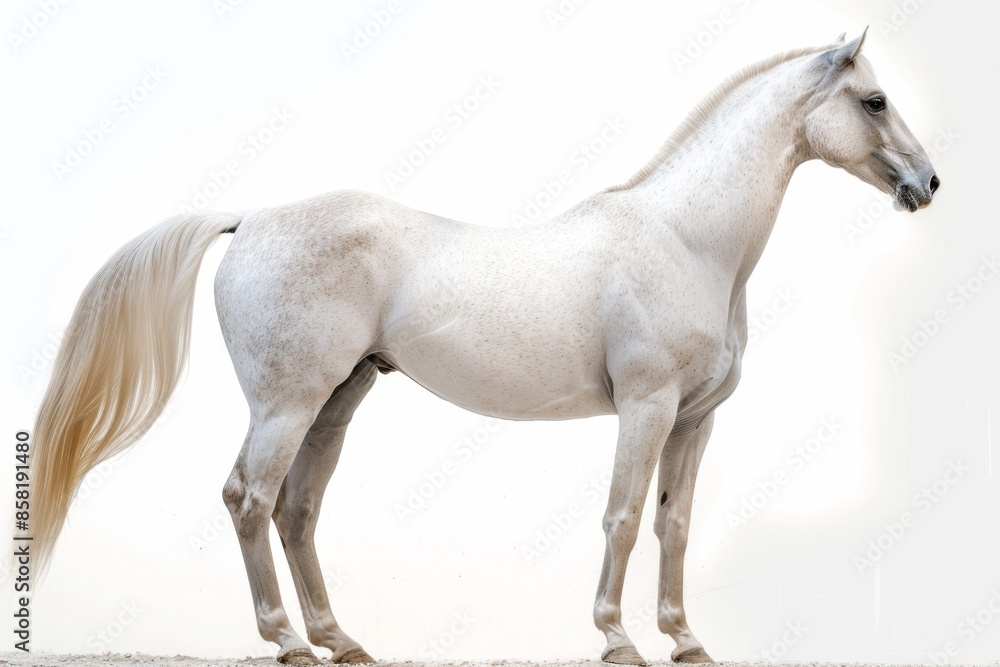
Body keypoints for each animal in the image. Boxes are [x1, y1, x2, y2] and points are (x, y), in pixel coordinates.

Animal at [29, 29, 938, 665]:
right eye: (875, 101)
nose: (928, 185)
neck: (685, 239)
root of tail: (249, 218)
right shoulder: (646, 406)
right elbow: (622, 516)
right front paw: (617, 637)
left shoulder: (695, 418)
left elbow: (672, 525)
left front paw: (685, 639)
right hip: (285, 404)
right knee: (249, 499)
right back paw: (287, 639)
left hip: (337, 400)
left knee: (297, 509)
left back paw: (339, 638)